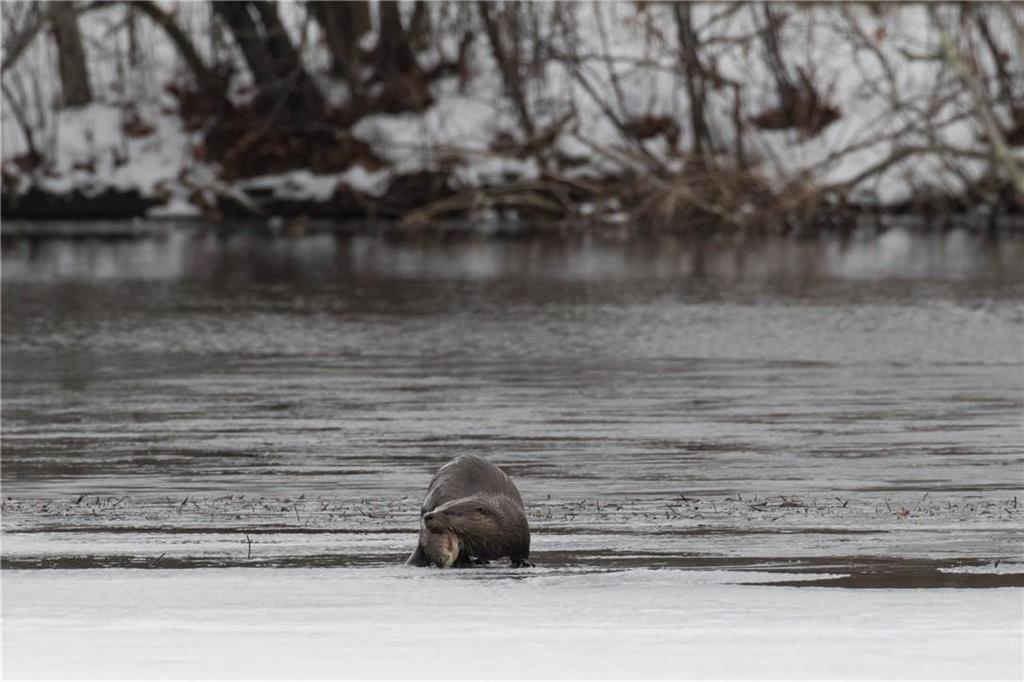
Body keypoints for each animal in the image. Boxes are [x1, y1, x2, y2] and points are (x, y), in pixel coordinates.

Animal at [407, 454, 536, 565]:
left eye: (448, 512)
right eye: (437, 508)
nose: (427, 516)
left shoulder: (520, 525)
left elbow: (523, 551)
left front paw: (523, 562)